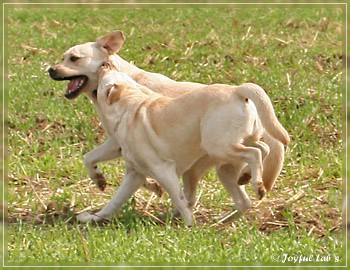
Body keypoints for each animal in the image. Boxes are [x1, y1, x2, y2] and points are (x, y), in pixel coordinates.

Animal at [48, 30, 290, 223]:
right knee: (247, 177)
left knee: (250, 159)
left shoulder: (120, 144)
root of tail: (240, 92)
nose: (51, 70)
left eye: (74, 58)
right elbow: (92, 160)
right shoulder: (122, 148)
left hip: (217, 150)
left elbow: (95, 160)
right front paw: (102, 183)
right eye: (62, 57)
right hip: (221, 165)